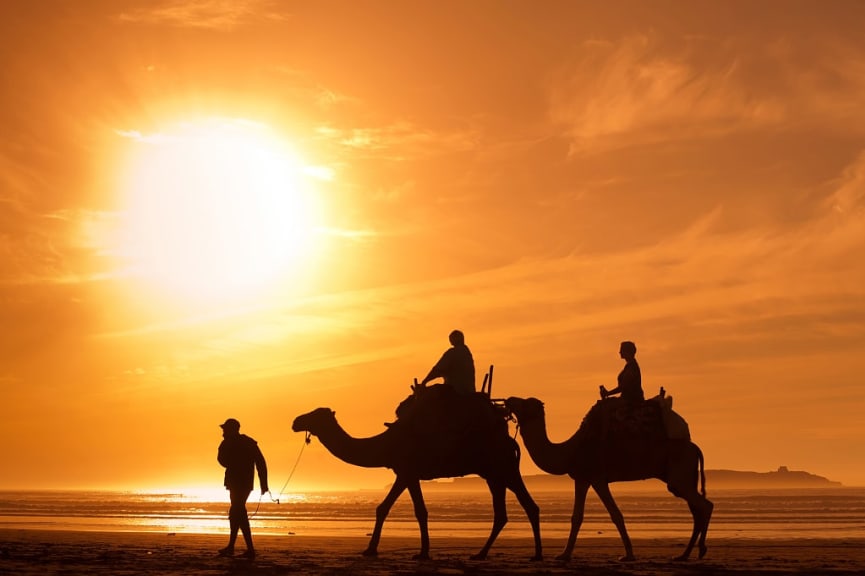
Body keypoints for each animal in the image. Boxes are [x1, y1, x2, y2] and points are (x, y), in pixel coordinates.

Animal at [294, 388, 544, 560]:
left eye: (316, 415)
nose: (295, 421)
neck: (387, 443)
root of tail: (509, 440)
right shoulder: (404, 472)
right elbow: (385, 508)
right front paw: (371, 549)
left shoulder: (408, 472)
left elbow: (418, 511)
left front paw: (422, 552)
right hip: (493, 474)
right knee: (503, 513)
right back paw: (481, 554)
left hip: (503, 467)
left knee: (528, 505)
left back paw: (536, 555)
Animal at [502, 396, 712, 564]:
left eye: (526, 403)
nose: (509, 399)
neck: (570, 451)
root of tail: (695, 448)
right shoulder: (582, 478)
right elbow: (577, 517)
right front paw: (564, 555)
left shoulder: (597, 478)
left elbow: (616, 515)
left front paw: (628, 555)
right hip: (682, 479)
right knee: (697, 510)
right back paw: (683, 555)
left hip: (680, 476)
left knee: (705, 505)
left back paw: (700, 550)